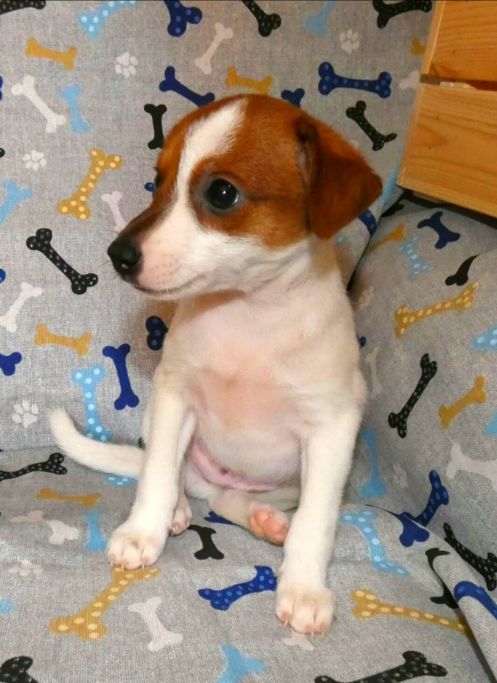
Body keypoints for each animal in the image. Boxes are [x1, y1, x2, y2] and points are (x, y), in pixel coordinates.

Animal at [50, 94, 381, 635]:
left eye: (222, 193)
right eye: (159, 180)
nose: (118, 255)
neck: (247, 311)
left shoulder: (331, 430)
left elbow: (315, 522)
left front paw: (304, 587)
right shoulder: (173, 395)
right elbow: (158, 475)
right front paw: (144, 530)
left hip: (290, 478)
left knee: (233, 501)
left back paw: (264, 519)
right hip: (160, 422)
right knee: (175, 474)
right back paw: (180, 510)